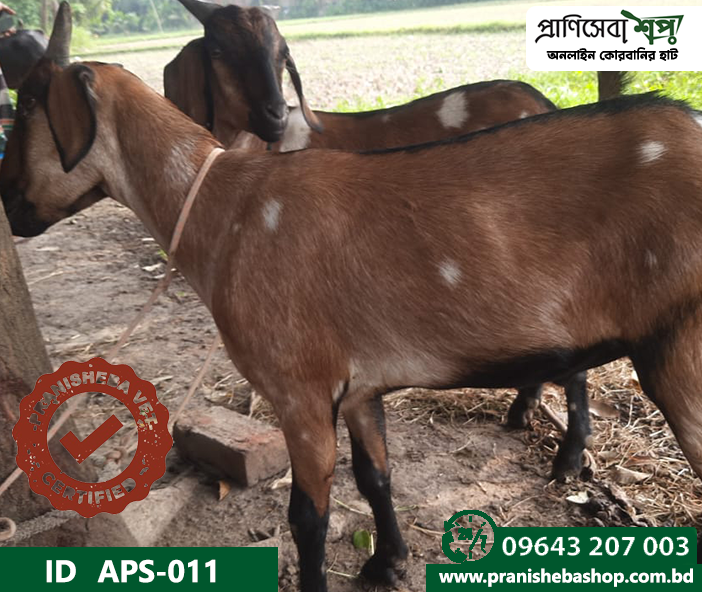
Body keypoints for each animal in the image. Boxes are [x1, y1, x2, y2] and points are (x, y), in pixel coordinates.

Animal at [166, 0, 594, 477]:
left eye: (281, 55)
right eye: (218, 49)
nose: (274, 115)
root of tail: (543, 101)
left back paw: (567, 457)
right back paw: (523, 412)